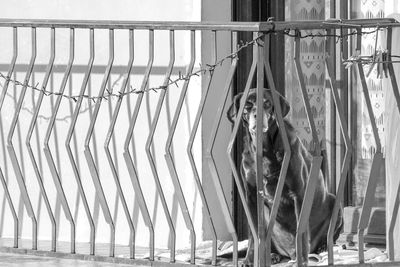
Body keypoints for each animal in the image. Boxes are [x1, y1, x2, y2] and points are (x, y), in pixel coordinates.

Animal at [227, 88, 342, 266]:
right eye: (247, 104)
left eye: (267, 103)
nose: (257, 115)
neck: (265, 150)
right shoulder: (251, 196)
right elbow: (253, 235)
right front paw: (249, 259)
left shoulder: (299, 194)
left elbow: (301, 231)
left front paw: (302, 260)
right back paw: (273, 255)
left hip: (335, 203)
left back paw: (321, 247)